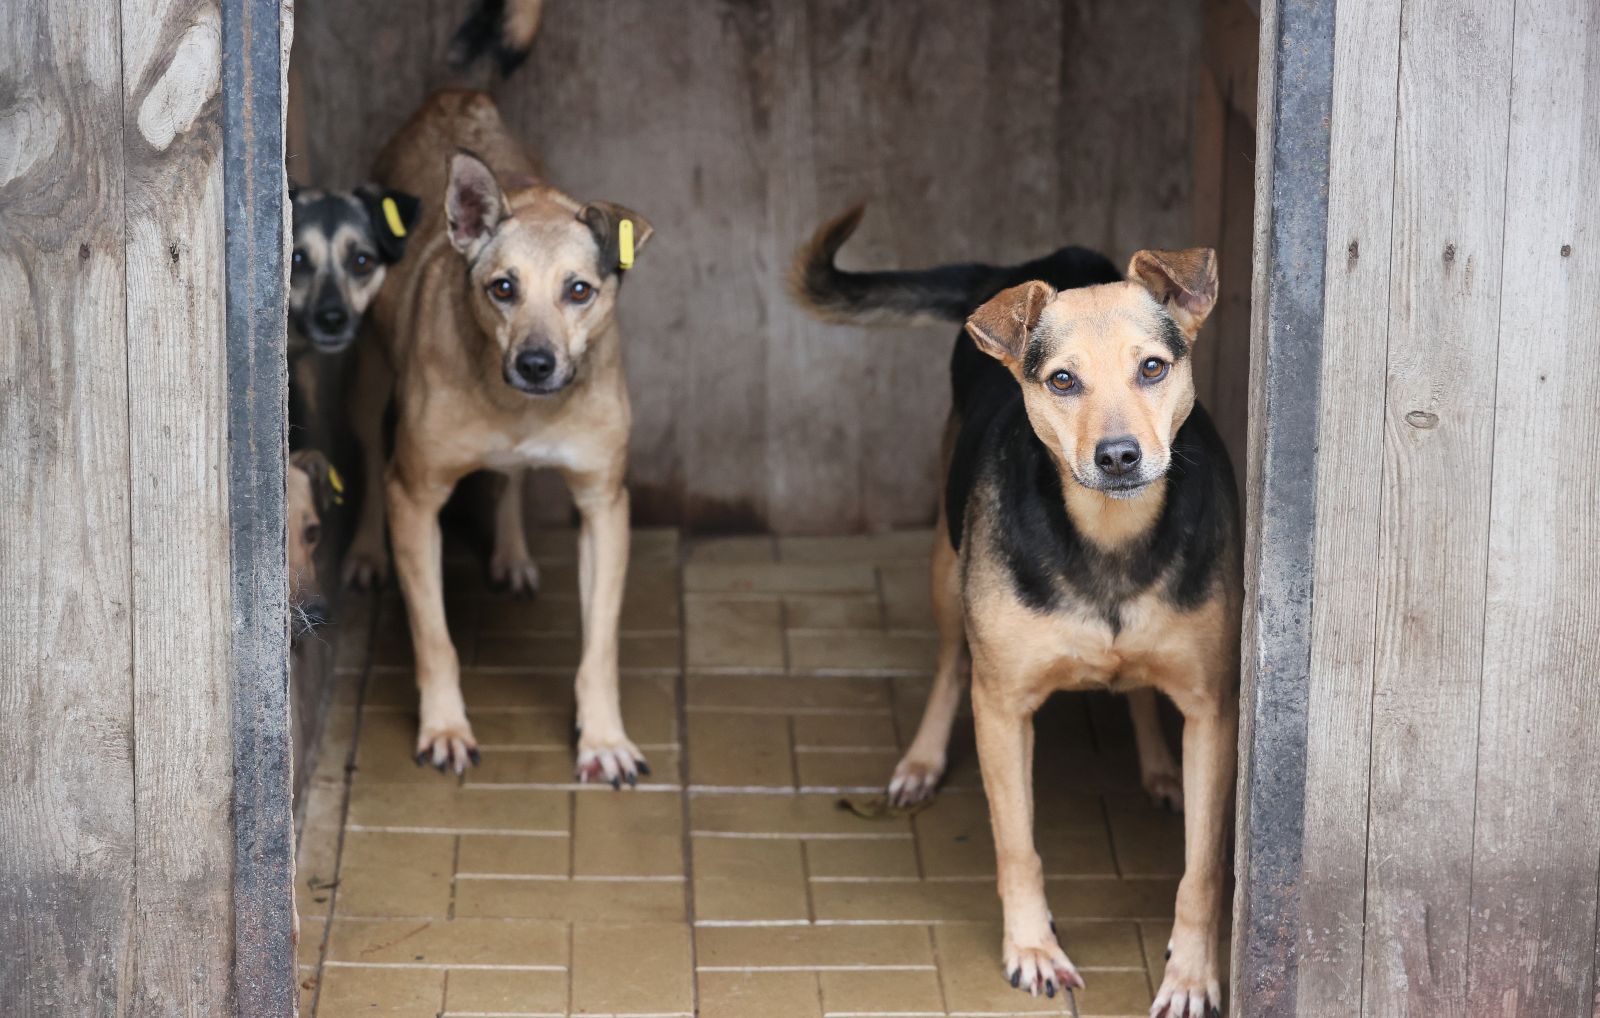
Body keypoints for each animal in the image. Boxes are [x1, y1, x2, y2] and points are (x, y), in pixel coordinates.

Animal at [347, 91, 652, 784]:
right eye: (502, 287)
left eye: (579, 290)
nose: (536, 364)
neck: (520, 409)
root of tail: (455, 95)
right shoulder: (415, 499)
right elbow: (435, 640)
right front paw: (444, 729)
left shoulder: (604, 505)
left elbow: (599, 648)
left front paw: (603, 738)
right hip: (371, 374)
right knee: (371, 457)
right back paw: (367, 552)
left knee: (509, 478)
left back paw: (511, 554)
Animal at [790, 208, 1235, 1018]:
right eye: (1062, 380)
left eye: (1153, 368)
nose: (1119, 457)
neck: (1108, 537)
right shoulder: (1002, 708)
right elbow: (1017, 844)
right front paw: (1032, 949)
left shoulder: (1213, 708)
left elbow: (1202, 868)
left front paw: (1190, 974)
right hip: (946, 565)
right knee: (947, 661)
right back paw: (921, 762)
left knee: (1138, 691)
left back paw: (1159, 768)